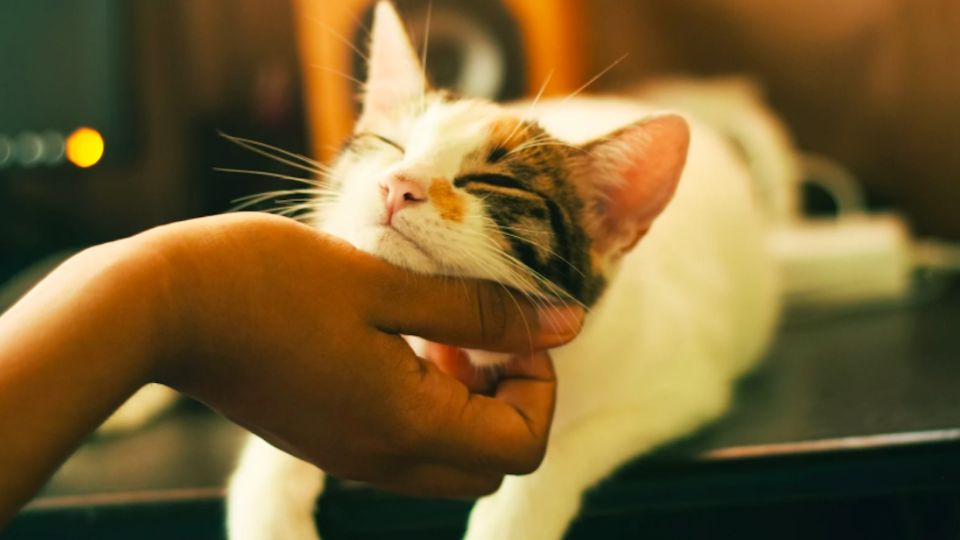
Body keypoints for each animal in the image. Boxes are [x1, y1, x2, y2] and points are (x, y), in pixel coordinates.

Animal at [227, 2, 780, 536]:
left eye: (493, 182)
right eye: (390, 145)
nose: (398, 184)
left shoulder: (681, 388)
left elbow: (561, 449)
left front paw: (512, 519)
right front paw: (268, 513)